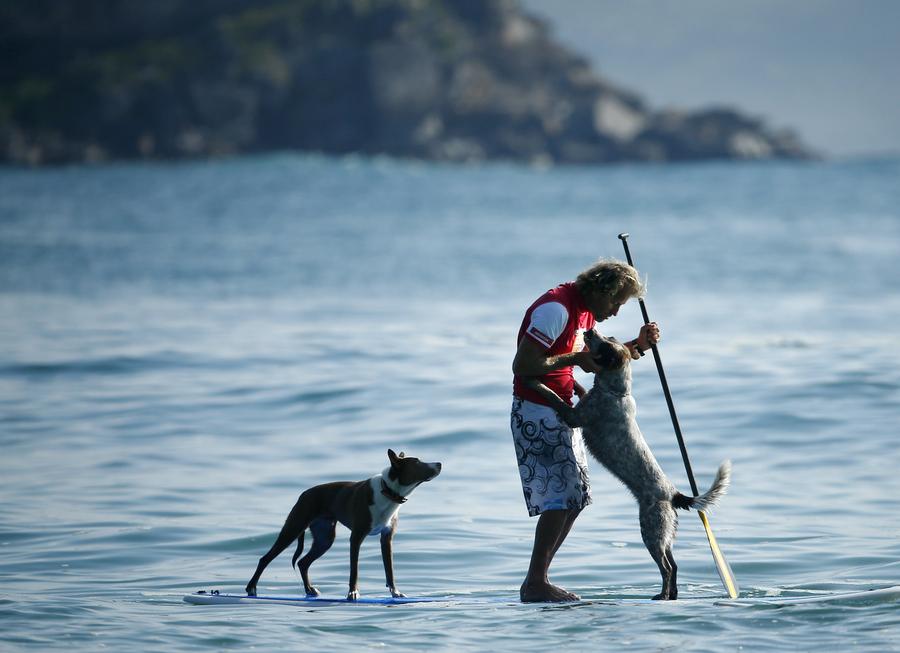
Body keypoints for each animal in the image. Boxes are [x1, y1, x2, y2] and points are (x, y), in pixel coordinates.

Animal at [246, 450, 442, 600]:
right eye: (417, 462)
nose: (439, 463)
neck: (388, 490)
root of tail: (304, 494)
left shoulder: (386, 539)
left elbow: (390, 570)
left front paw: (396, 593)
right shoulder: (356, 537)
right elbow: (354, 570)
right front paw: (352, 593)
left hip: (324, 538)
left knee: (303, 563)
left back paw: (309, 590)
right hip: (293, 528)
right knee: (266, 559)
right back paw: (251, 588)